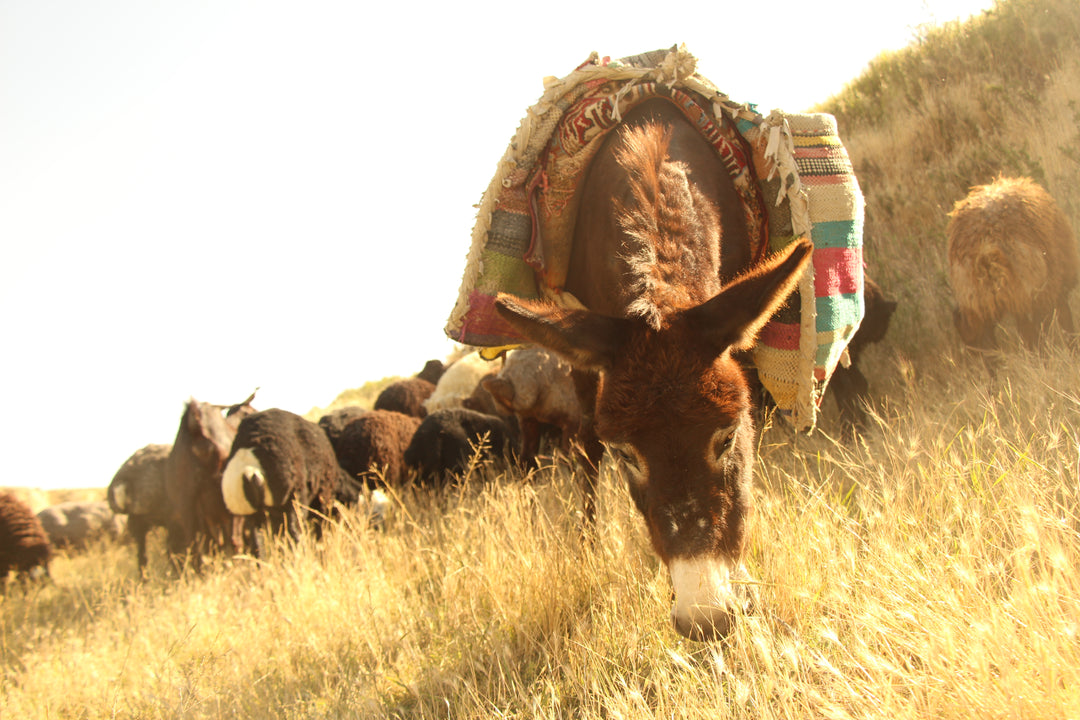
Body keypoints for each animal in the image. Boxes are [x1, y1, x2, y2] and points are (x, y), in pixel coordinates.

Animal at [221, 408, 352, 557]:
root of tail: (249, 470)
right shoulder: (322, 496)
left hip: (254, 514)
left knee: (258, 544)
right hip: (294, 500)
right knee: (296, 532)